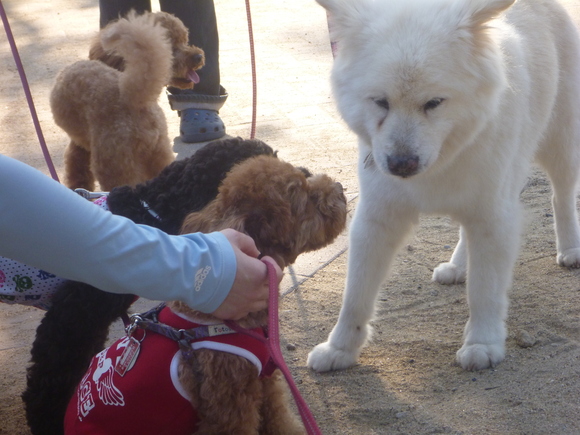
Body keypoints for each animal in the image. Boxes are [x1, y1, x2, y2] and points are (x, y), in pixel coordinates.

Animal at [308, 0, 580, 372]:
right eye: (380, 102)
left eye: (434, 103)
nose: (400, 164)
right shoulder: (377, 219)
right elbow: (355, 296)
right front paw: (340, 349)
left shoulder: (494, 217)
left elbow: (485, 290)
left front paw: (482, 343)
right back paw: (458, 266)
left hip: (560, 146)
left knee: (562, 197)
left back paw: (570, 249)